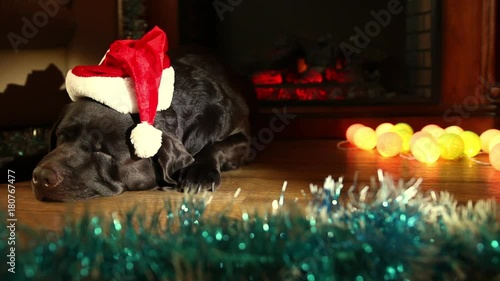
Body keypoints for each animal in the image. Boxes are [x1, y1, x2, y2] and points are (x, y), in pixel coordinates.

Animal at [32, 51, 254, 200]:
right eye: (62, 136)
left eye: (103, 152)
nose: (40, 176)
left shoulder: (242, 138)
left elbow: (215, 146)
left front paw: (198, 173)